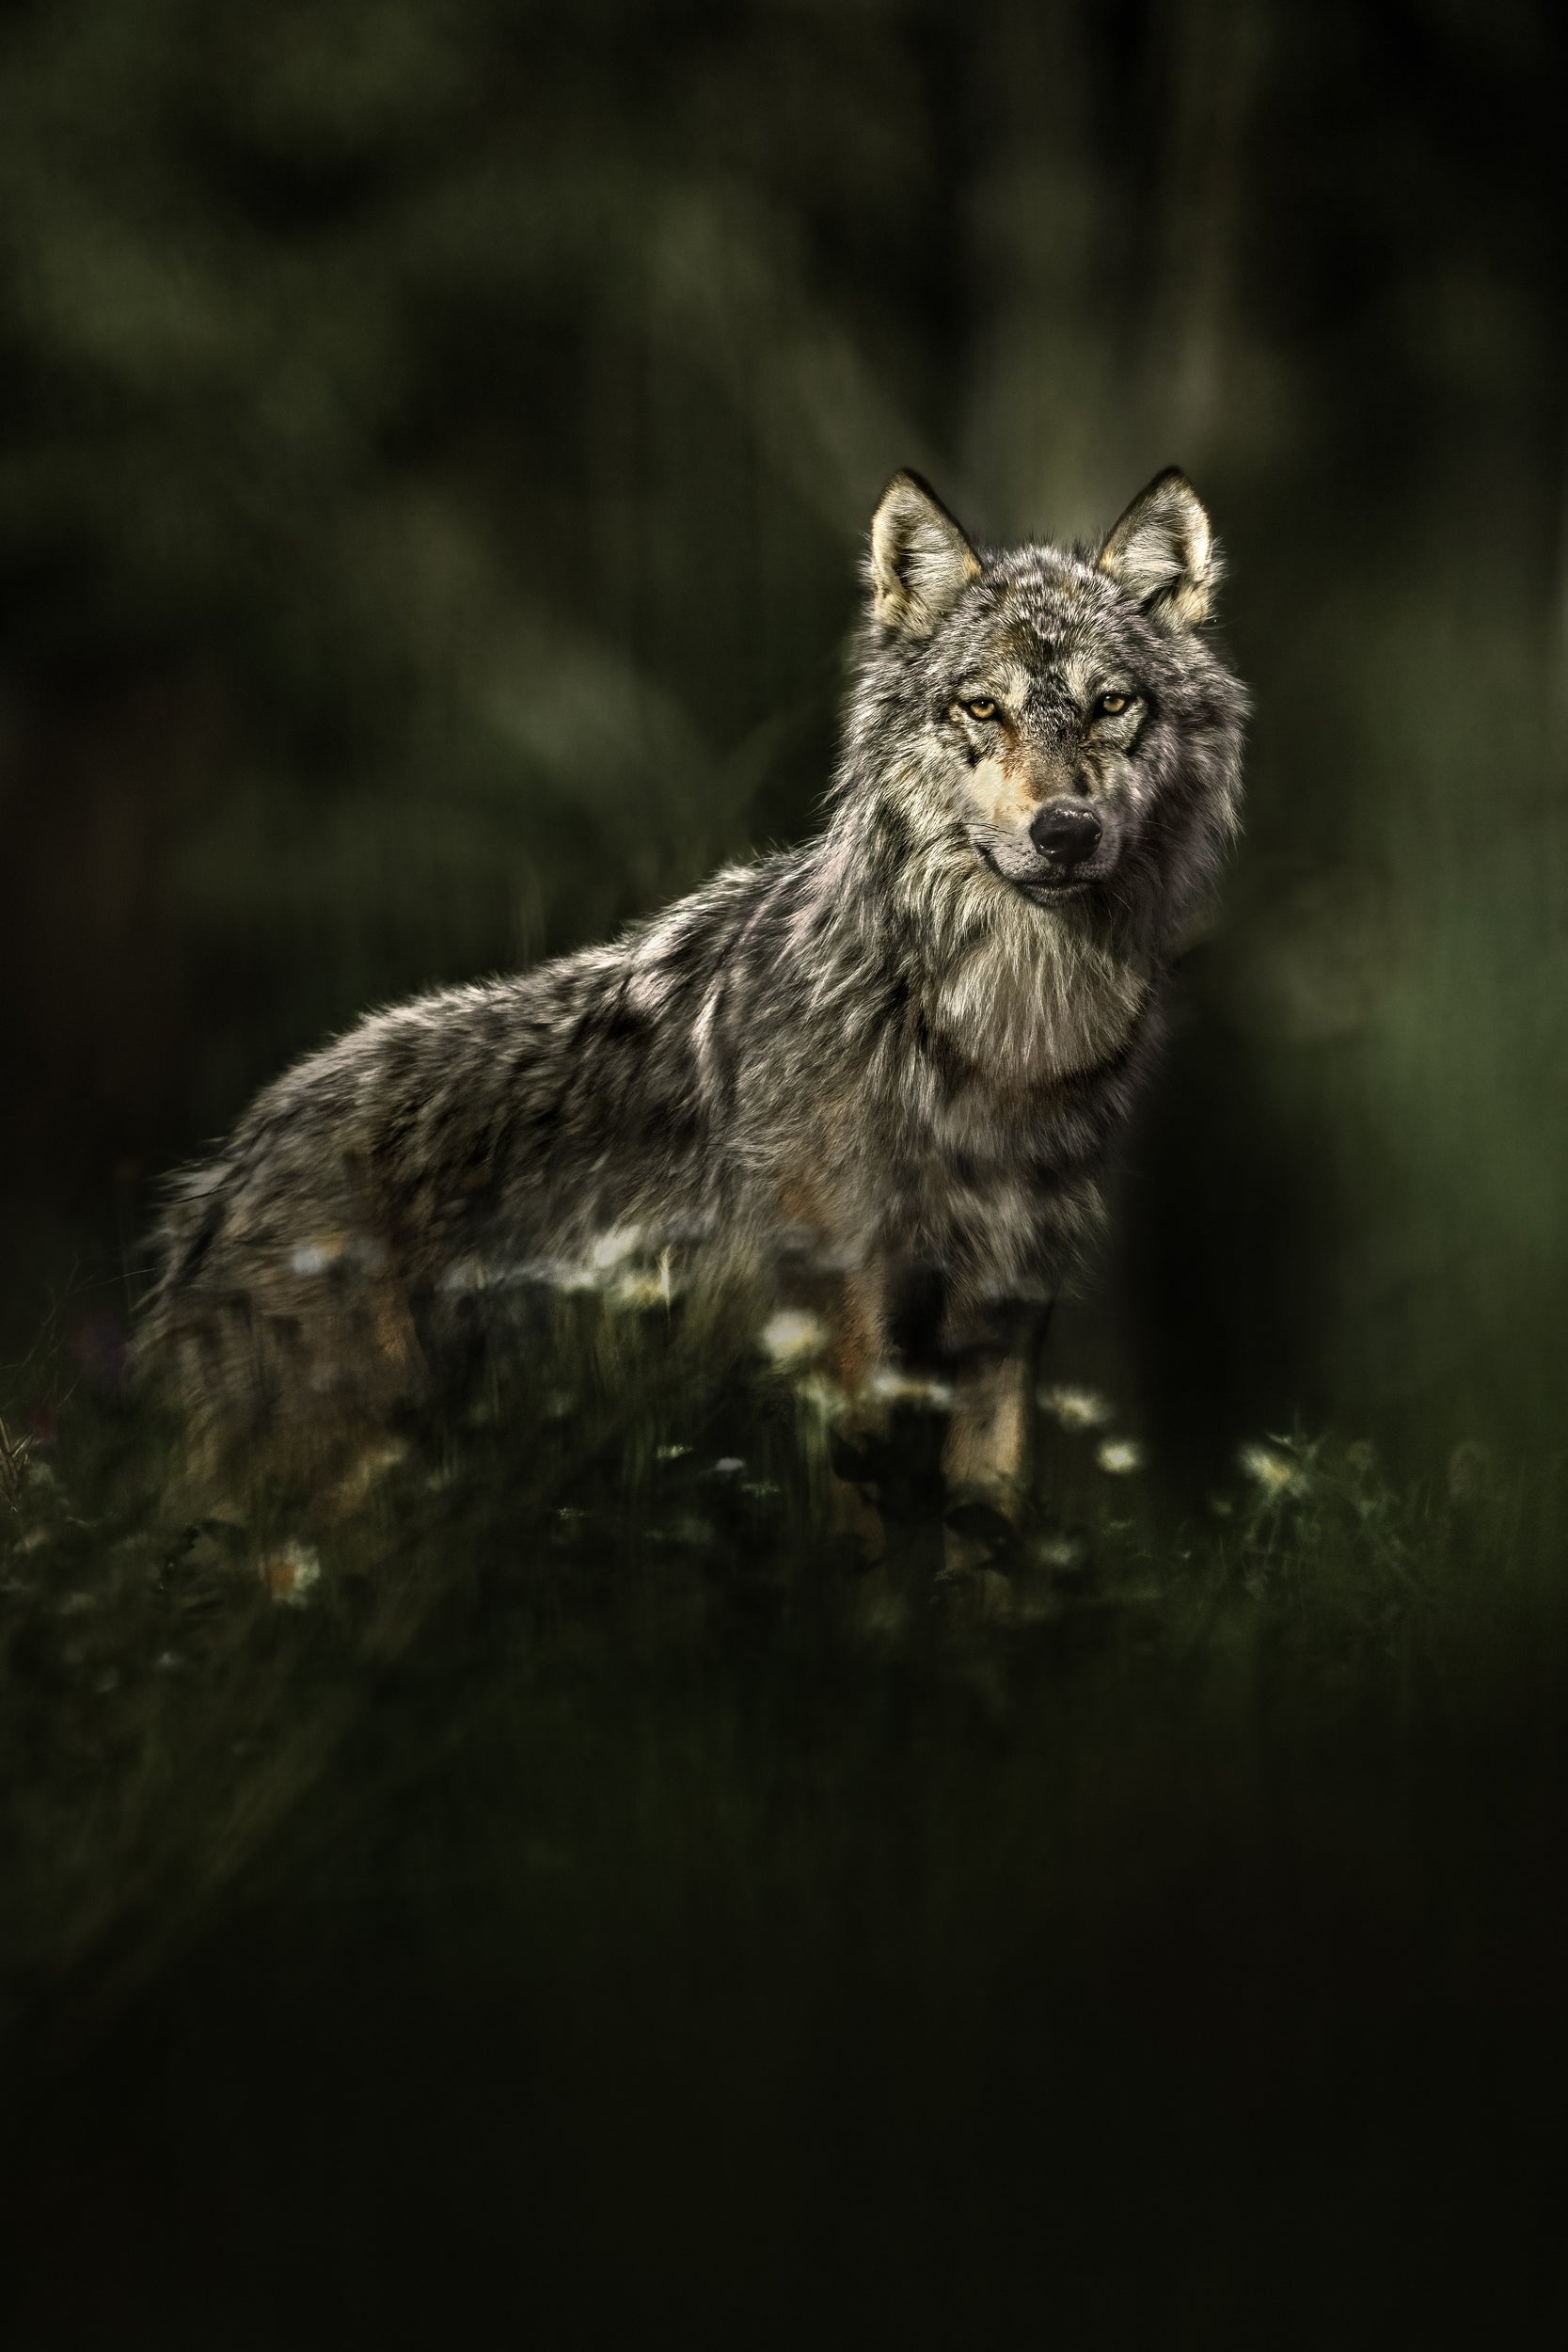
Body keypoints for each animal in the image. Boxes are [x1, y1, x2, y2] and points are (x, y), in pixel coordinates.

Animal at [141, 467, 1246, 1556]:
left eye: (1111, 704)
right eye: (982, 707)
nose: (1066, 831)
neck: (1005, 1036)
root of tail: (228, 1169)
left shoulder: (1000, 1327)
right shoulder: (841, 1326)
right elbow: (865, 1554)